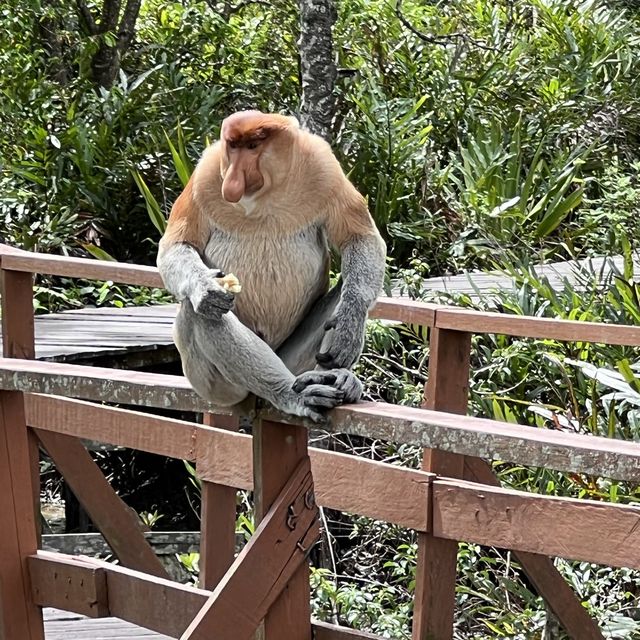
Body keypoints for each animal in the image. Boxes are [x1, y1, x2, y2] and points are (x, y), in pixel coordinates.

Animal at [156, 110, 384, 420]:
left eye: (253, 146)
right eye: (233, 147)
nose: (234, 179)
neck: (265, 194)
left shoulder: (324, 168)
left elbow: (359, 238)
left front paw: (348, 325)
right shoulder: (205, 175)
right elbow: (176, 246)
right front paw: (206, 288)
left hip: (294, 360)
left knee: (343, 288)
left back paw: (335, 377)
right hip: (215, 386)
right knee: (200, 313)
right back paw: (292, 394)